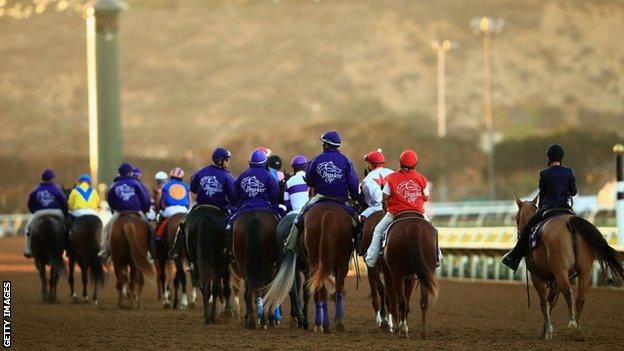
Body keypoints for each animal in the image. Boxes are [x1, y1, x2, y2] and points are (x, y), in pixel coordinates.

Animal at [306, 202, 356, 334]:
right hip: (342, 262)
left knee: (320, 288)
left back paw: (322, 324)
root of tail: (328, 213)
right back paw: (336, 323)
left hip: (315, 259)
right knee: (338, 286)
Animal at [512, 195, 624, 340]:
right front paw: (545, 329)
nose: (519, 233)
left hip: (561, 271)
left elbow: (544, 303)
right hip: (584, 272)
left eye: (516, 217)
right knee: (580, 297)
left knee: (568, 293)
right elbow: (551, 302)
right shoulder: (554, 280)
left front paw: (547, 332)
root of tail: (570, 221)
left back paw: (572, 324)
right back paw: (578, 330)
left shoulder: (537, 277)